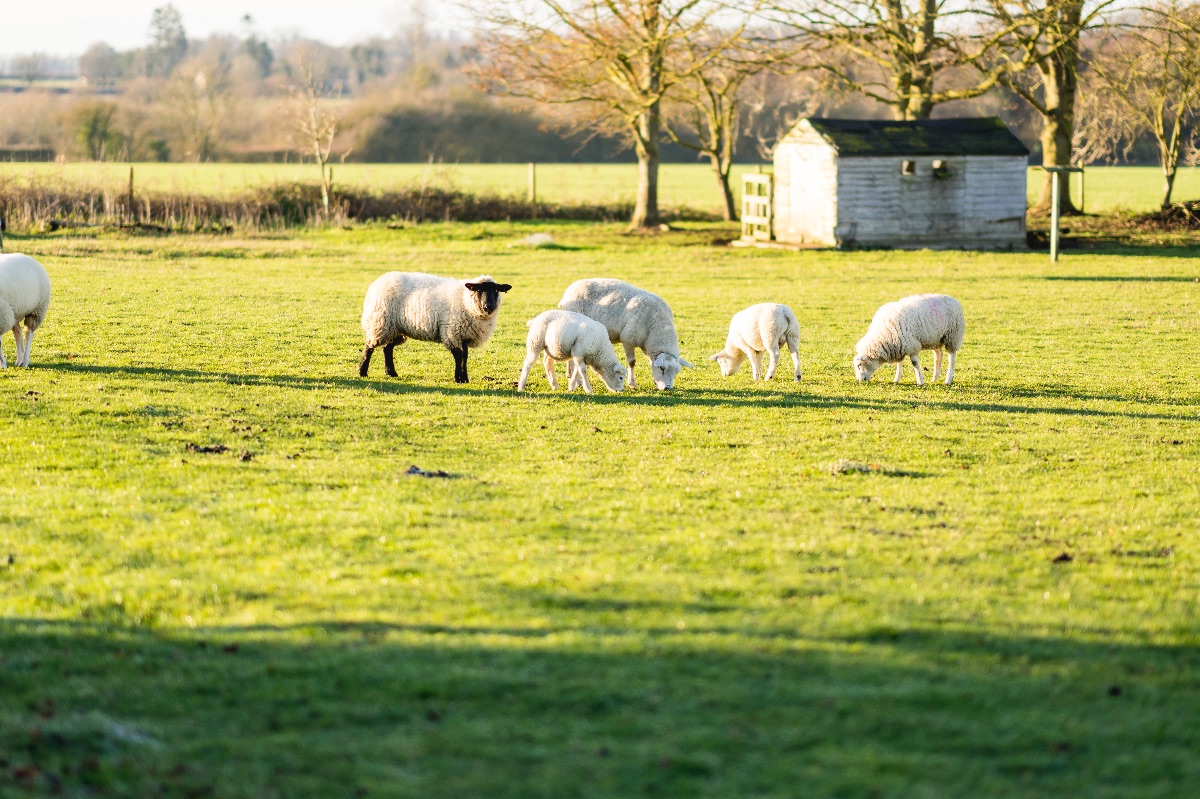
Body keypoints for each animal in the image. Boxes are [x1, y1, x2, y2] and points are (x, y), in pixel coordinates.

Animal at [352, 271, 508, 383]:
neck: (465, 301)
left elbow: (465, 356)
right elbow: (458, 356)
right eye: (479, 290)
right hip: (380, 322)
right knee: (370, 346)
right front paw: (458, 378)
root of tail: (379, 281)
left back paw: (391, 373)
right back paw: (362, 371)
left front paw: (465, 378)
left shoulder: (463, 335)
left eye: (496, 291)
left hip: (397, 328)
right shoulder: (452, 333)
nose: (488, 307)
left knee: (387, 348)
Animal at [554, 277, 691, 388]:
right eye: (662, 368)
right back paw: (577, 382)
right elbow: (632, 362)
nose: (668, 388)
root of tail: (567, 294)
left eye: (676, 372)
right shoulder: (628, 340)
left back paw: (569, 374)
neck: (656, 326)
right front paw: (632, 383)